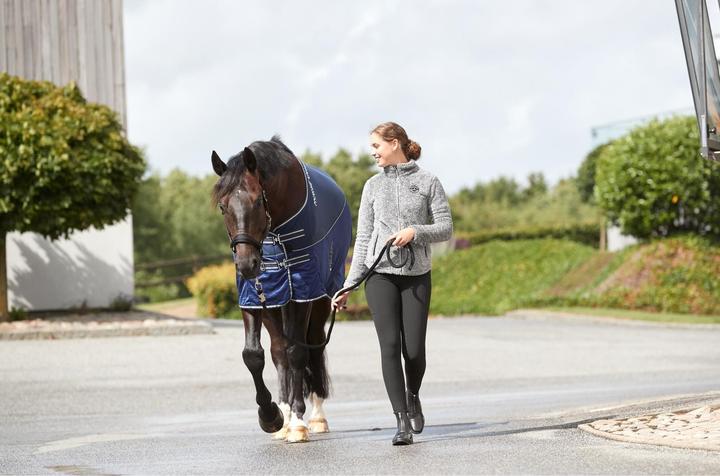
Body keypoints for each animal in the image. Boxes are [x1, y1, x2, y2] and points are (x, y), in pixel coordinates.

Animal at [210, 136, 352, 443]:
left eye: (256, 201)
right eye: (223, 206)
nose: (246, 264)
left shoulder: (302, 292)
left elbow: (298, 353)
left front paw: (298, 423)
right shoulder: (254, 297)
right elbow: (254, 355)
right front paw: (272, 416)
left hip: (318, 302)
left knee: (311, 347)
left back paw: (315, 417)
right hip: (275, 304)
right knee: (278, 352)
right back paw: (285, 418)